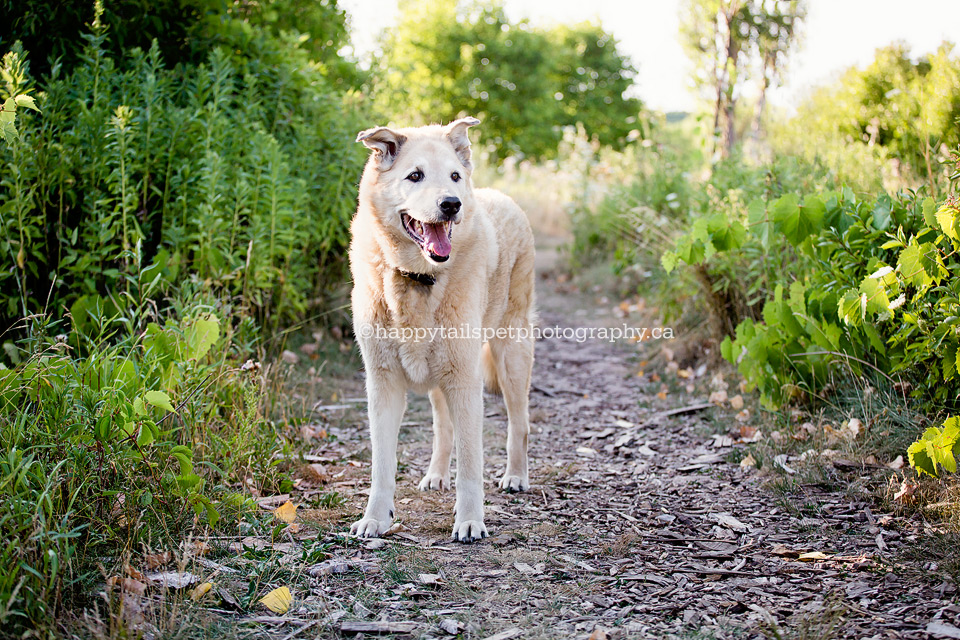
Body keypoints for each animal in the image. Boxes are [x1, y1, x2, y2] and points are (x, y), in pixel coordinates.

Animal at [346, 117, 540, 544]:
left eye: (454, 176)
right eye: (415, 176)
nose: (452, 204)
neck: (417, 278)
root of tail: (500, 196)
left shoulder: (466, 382)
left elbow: (471, 463)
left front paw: (469, 520)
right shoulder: (383, 384)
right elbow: (382, 463)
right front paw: (376, 518)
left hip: (511, 357)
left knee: (519, 423)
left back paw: (516, 476)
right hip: (442, 377)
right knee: (443, 427)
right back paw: (436, 475)